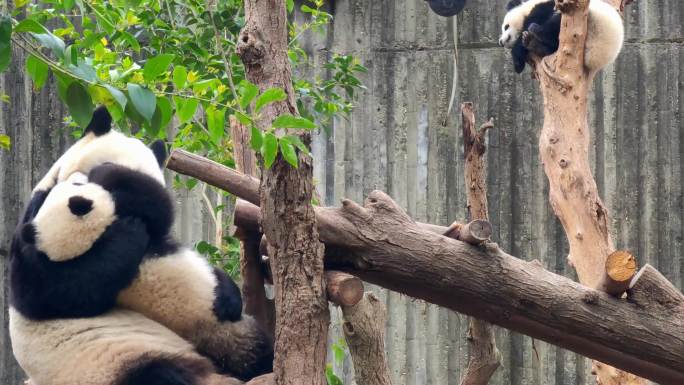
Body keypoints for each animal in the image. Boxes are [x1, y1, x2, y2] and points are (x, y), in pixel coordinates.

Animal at [10, 106, 272, 382]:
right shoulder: (35, 233)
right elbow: (59, 287)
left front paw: (229, 297)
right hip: (115, 361)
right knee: (159, 374)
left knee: (250, 346)